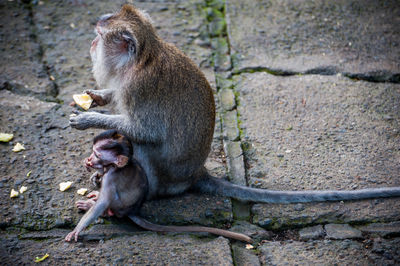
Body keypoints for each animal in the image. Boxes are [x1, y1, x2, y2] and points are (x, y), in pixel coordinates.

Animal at [66, 130, 252, 243]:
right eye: (93, 152)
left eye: (97, 154)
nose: (90, 159)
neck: (115, 167)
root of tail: (133, 211)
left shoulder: (111, 178)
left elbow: (104, 202)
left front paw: (77, 230)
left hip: (119, 208)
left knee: (108, 207)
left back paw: (95, 207)